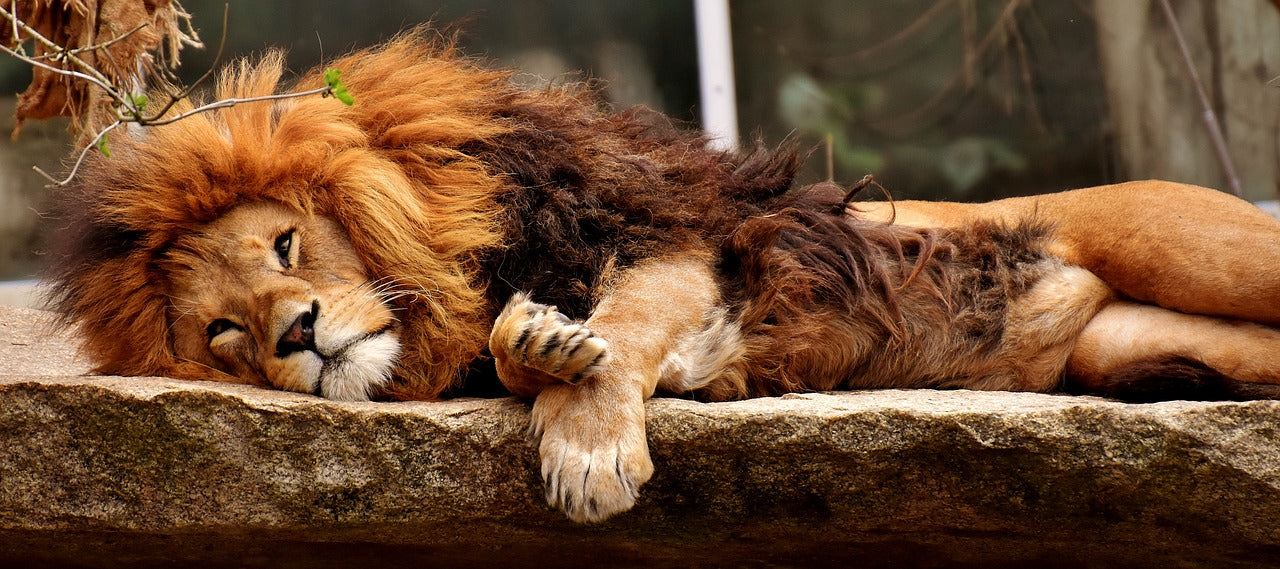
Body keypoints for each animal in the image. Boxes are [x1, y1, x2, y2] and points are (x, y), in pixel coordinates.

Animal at [45, 29, 1280, 519]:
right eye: (223, 334)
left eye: (287, 249)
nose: (297, 334)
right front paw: (539, 343)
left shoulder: (690, 244)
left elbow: (626, 326)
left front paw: (585, 445)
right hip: (1128, 346)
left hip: (1194, 248)